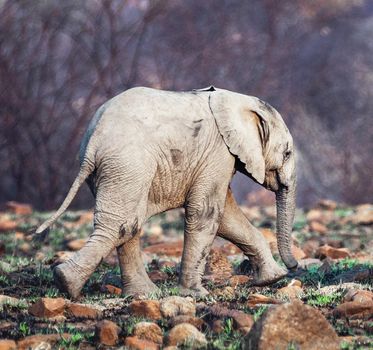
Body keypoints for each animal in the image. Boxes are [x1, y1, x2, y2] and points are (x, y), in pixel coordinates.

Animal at [36, 85, 298, 298]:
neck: (237, 101)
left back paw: (141, 294)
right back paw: (66, 283)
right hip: (128, 164)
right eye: (287, 153)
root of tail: (93, 142)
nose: (294, 267)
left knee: (128, 223)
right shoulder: (218, 152)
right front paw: (196, 295)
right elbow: (206, 212)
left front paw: (273, 278)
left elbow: (226, 217)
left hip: (118, 171)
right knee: (123, 223)